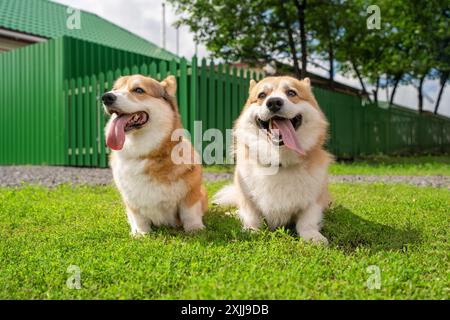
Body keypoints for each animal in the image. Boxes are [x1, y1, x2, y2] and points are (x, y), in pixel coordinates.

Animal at [102, 74, 207, 235]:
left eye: (139, 90)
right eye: (115, 89)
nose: (106, 97)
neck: (145, 154)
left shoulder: (192, 191)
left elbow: (190, 212)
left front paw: (195, 229)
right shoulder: (130, 200)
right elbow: (138, 217)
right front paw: (141, 233)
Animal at [213, 76, 332, 244]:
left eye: (291, 92)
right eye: (262, 95)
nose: (274, 102)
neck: (278, 162)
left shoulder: (314, 201)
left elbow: (306, 221)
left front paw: (313, 236)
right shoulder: (247, 198)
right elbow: (251, 215)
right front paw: (251, 230)